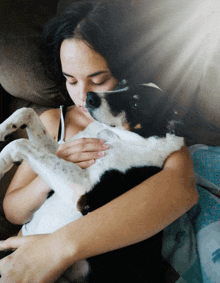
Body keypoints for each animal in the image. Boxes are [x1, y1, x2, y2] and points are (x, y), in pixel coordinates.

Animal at [0, 83, 185, 282]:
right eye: (121, 84)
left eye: (136, 104)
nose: (89, 97)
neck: (123, 138)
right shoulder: (65, 151)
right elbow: (27, 111)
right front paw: (3, 129)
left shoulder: (83, 193)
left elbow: (20, 144)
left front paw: (2, 162)